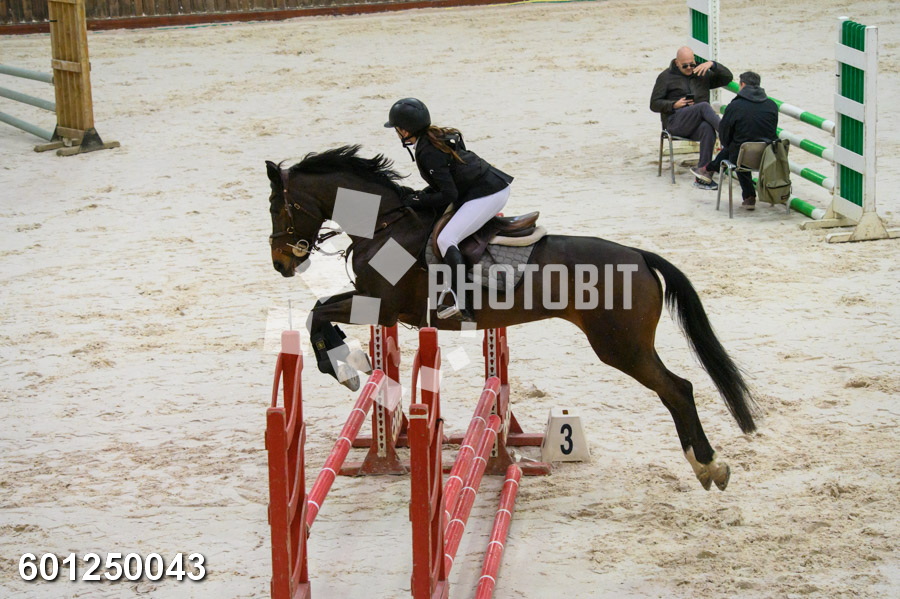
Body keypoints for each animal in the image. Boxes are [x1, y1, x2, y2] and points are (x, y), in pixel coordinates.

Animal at [265, 145, 758, 491]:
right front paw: (352, 365)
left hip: (621, 347)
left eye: (278, 208)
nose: (280, 265)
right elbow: (318, 312)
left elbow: (316, 315)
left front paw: (345, 368)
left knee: (678, 389)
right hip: (626, 345)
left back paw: (709, 466)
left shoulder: (379, 304)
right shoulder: (378, 305)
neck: (386, 225)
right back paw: (708, 465)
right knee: (678, 388)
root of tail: (638, 255)